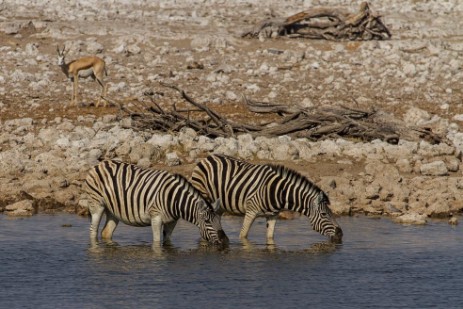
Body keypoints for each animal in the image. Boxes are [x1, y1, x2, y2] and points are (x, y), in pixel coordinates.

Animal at [84, 159, 229, 245]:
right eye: (207, 221)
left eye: (219, 220)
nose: (225, 241)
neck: (174, 199)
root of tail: (100, 163)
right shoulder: (155, 217)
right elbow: (157, 241)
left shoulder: (172, 221)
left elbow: (167, 240)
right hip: (96, 204)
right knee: (93, 230)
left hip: (113, 210)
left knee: (106, 232)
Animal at [190, 154, 342, 243]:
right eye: (324, 214)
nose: (340, 234)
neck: (279, 192)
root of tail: (208, 157)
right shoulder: (251, 211)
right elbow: (243, 235)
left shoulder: (273, 215)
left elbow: (270, 237)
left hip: (220, 206)